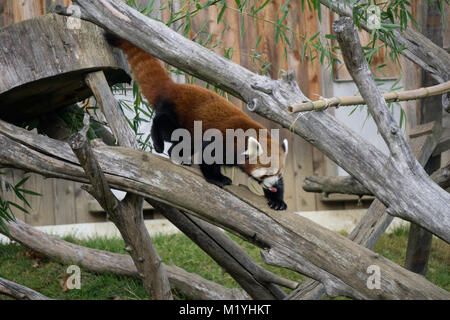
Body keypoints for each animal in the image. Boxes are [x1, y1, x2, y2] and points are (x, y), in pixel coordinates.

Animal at [105, 33, 288, 210]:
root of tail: (174, 88)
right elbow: (209, 157)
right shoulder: (224, 141)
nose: (273, 185)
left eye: (279, 173)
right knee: (163, 125)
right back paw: (158, 143)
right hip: (177, 116)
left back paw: (179, 156)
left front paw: (277, 199)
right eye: (267, 173)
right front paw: (217, 178)